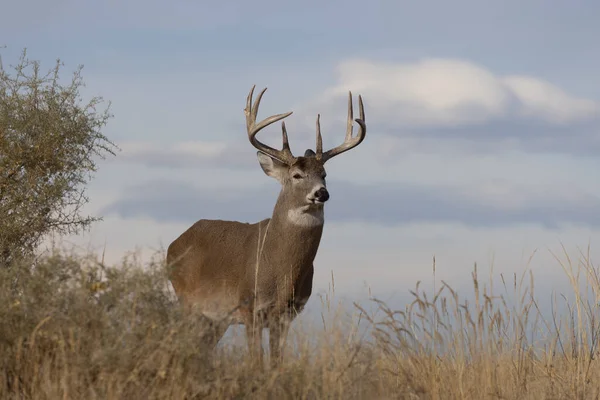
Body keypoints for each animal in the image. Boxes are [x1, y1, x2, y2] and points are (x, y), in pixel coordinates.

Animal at [166, 86, 368, 368]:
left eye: (324, 174)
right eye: (296, 175)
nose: (322, 193)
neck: (278, 270)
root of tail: (173, 245)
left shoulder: (285, 315)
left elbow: (276, 363)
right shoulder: (249, 308)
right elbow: (256, 362)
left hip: (215, 318)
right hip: (187, 300)